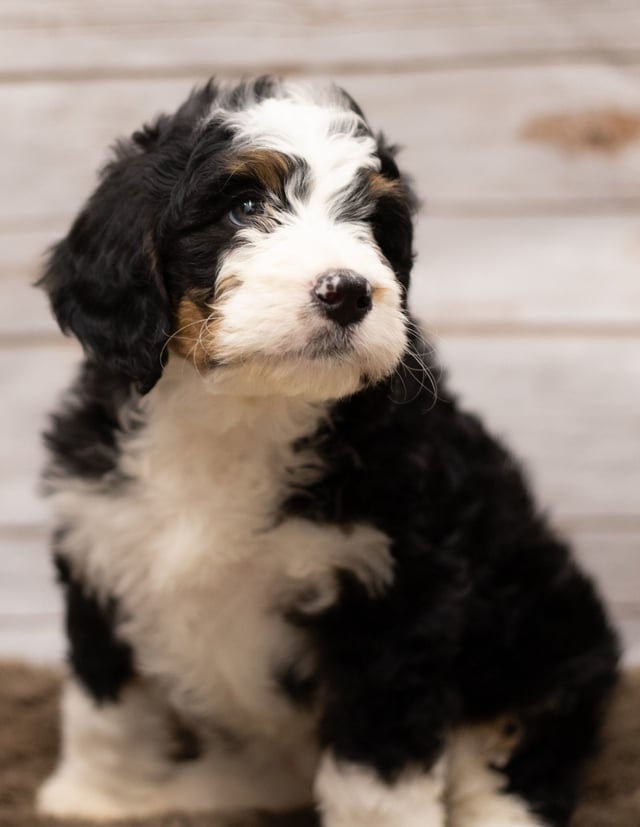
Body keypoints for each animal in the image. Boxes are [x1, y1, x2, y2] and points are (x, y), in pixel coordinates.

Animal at [37, 74, 616, 824]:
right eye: (245, 205)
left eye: (373, 223)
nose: (347, 291)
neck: (241, 410)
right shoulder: (100, 545)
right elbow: (106, 700)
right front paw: (97, 797)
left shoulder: (394, 596)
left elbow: (377, 765)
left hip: (544, 640)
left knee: (519, 749)